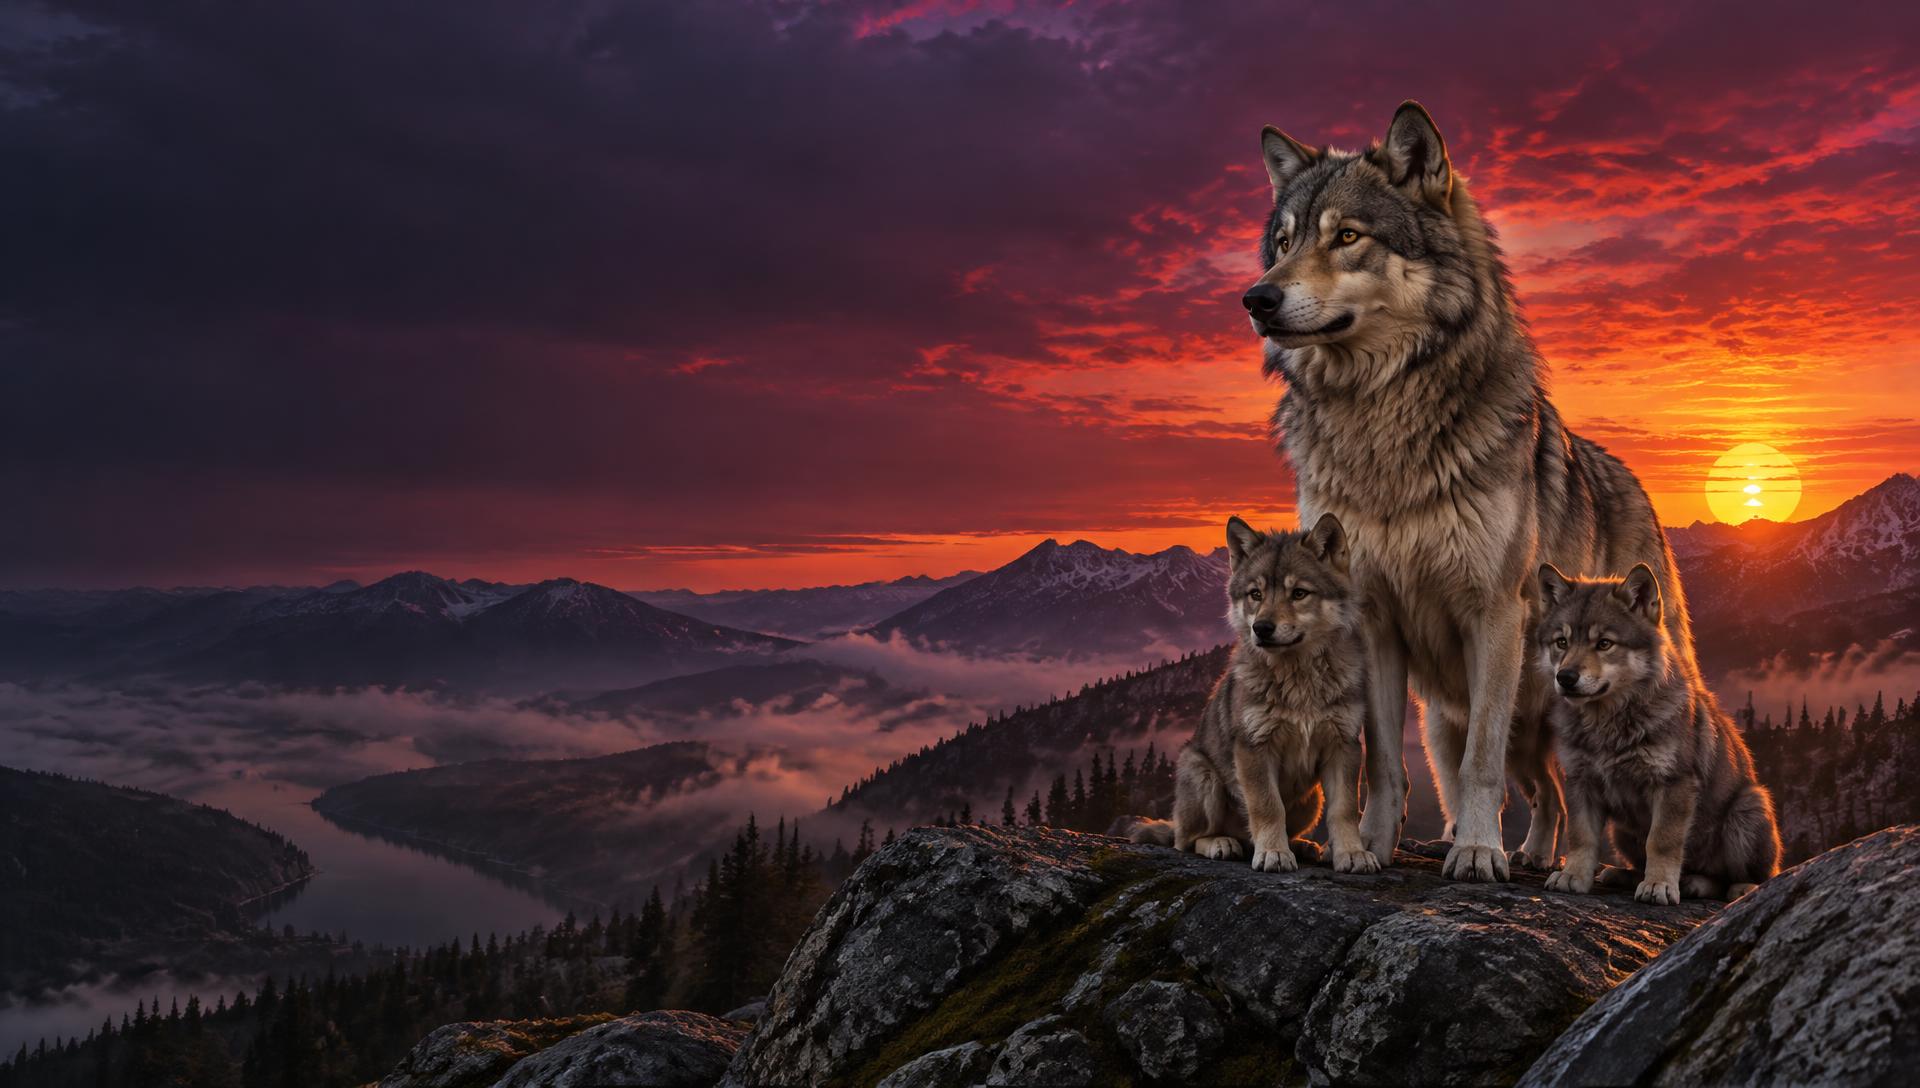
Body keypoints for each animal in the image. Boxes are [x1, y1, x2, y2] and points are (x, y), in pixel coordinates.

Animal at [1126, 514, 1380, 874]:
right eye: (1255, 594)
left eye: (1299, 593)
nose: (1261, 628)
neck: (1299, 679)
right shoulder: (1254, 748)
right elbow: (1268, 806)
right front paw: (1273, 853)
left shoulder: (1343, 746)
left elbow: (1344, 810)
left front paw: (1352, 853)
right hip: (1203, 777)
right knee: (1187, 841)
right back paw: (1222, 843)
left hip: (1311, 800)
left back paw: (1301, 846)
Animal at [1245, 101, 1701, 881]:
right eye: (1282, 242)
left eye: (1347, 236)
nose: (1256, 298)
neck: (1382, 420)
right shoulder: (1375, 621)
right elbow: (1383, 764)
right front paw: (1371, 849)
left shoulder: (1493, 614)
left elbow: (1481, 765)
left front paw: (1481, 854)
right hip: (1447, 718)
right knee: (1536, 788)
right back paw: (1506, 848)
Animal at [1535, 564, 1781, 903]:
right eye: (1561, 642)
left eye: (1604, 644)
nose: (1566, 677)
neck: (1608, 724)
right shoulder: (1580, 781)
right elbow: (1581, 836)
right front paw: (1573, 875)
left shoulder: (1673, 784)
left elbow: (1661, 841)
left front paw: (1659, 885)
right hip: (1621, 832)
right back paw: (1622, 874)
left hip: (1747, 810)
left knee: (1741, 876)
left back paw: (1724, 886)